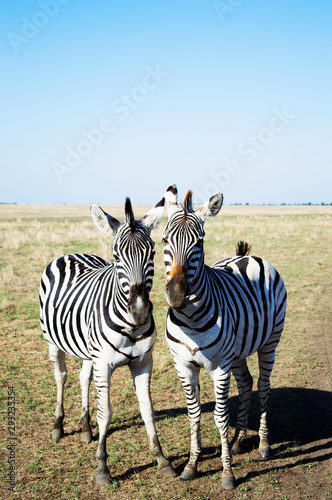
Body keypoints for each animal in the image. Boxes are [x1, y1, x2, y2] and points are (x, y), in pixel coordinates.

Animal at [39, 198, 176, 484]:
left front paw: (161, 459)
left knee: (83, 378)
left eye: (152, 253)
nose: (139, 311)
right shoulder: (104, 364)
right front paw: (103, 467)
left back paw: (84, 428)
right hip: (53, 341)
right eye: (116, 257)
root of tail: (72, 254)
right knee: (61, 376)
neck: (130, 327)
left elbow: (148, 409)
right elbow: (106, 413)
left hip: (87, 349)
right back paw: (58, 426)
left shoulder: (143, 362)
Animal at [162, 184, 286, 488]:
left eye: (199, 242)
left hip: (270, 342)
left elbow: (219, 416)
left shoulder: (220, 367)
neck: (190, 320)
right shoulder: (183, 366)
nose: (176, 296)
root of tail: (247, 256)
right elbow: (194, 414)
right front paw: (192, 465)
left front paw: (227, 472)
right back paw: (239, 441)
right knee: (246, 383)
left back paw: (263, 445)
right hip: (237, 352)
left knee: (263, 385)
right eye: (164, 239)